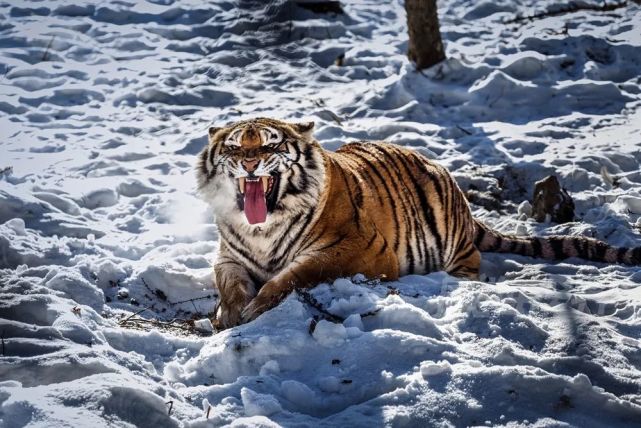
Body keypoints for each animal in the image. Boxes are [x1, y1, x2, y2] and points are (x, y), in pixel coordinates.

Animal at [196, 117, 640, 328]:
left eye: (270, 145)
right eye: (234, 147)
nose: (249, 164)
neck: (262, 228)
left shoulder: (360, 250)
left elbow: (296, 274)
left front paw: (256, 307)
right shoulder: (229, 257)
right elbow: (230, 285)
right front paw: (228, 314)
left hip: (453, 241)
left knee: (471, 264)